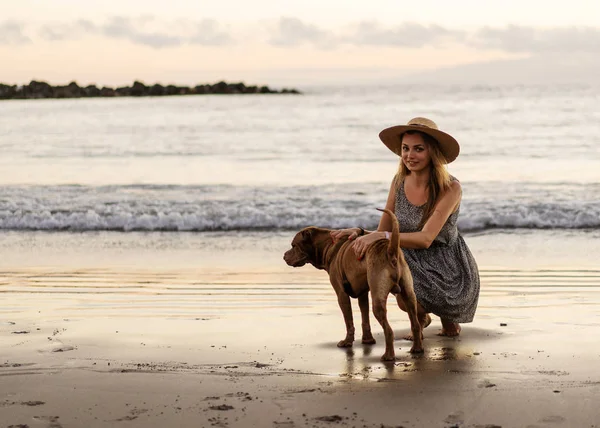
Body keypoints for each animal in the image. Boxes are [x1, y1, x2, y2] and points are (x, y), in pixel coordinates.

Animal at [284, 209, 424, 360]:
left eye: (294, 245)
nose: (284, 256)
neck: (328, 245)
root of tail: (390, 250)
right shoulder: (363, 293)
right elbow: (364, 317)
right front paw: (367, 340)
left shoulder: (341, 294)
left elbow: (349, 320)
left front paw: (347, 341)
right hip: (409, 294)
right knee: (415, 322)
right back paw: (417, 348)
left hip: (378, 299)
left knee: (388, 330)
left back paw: (388, 355)